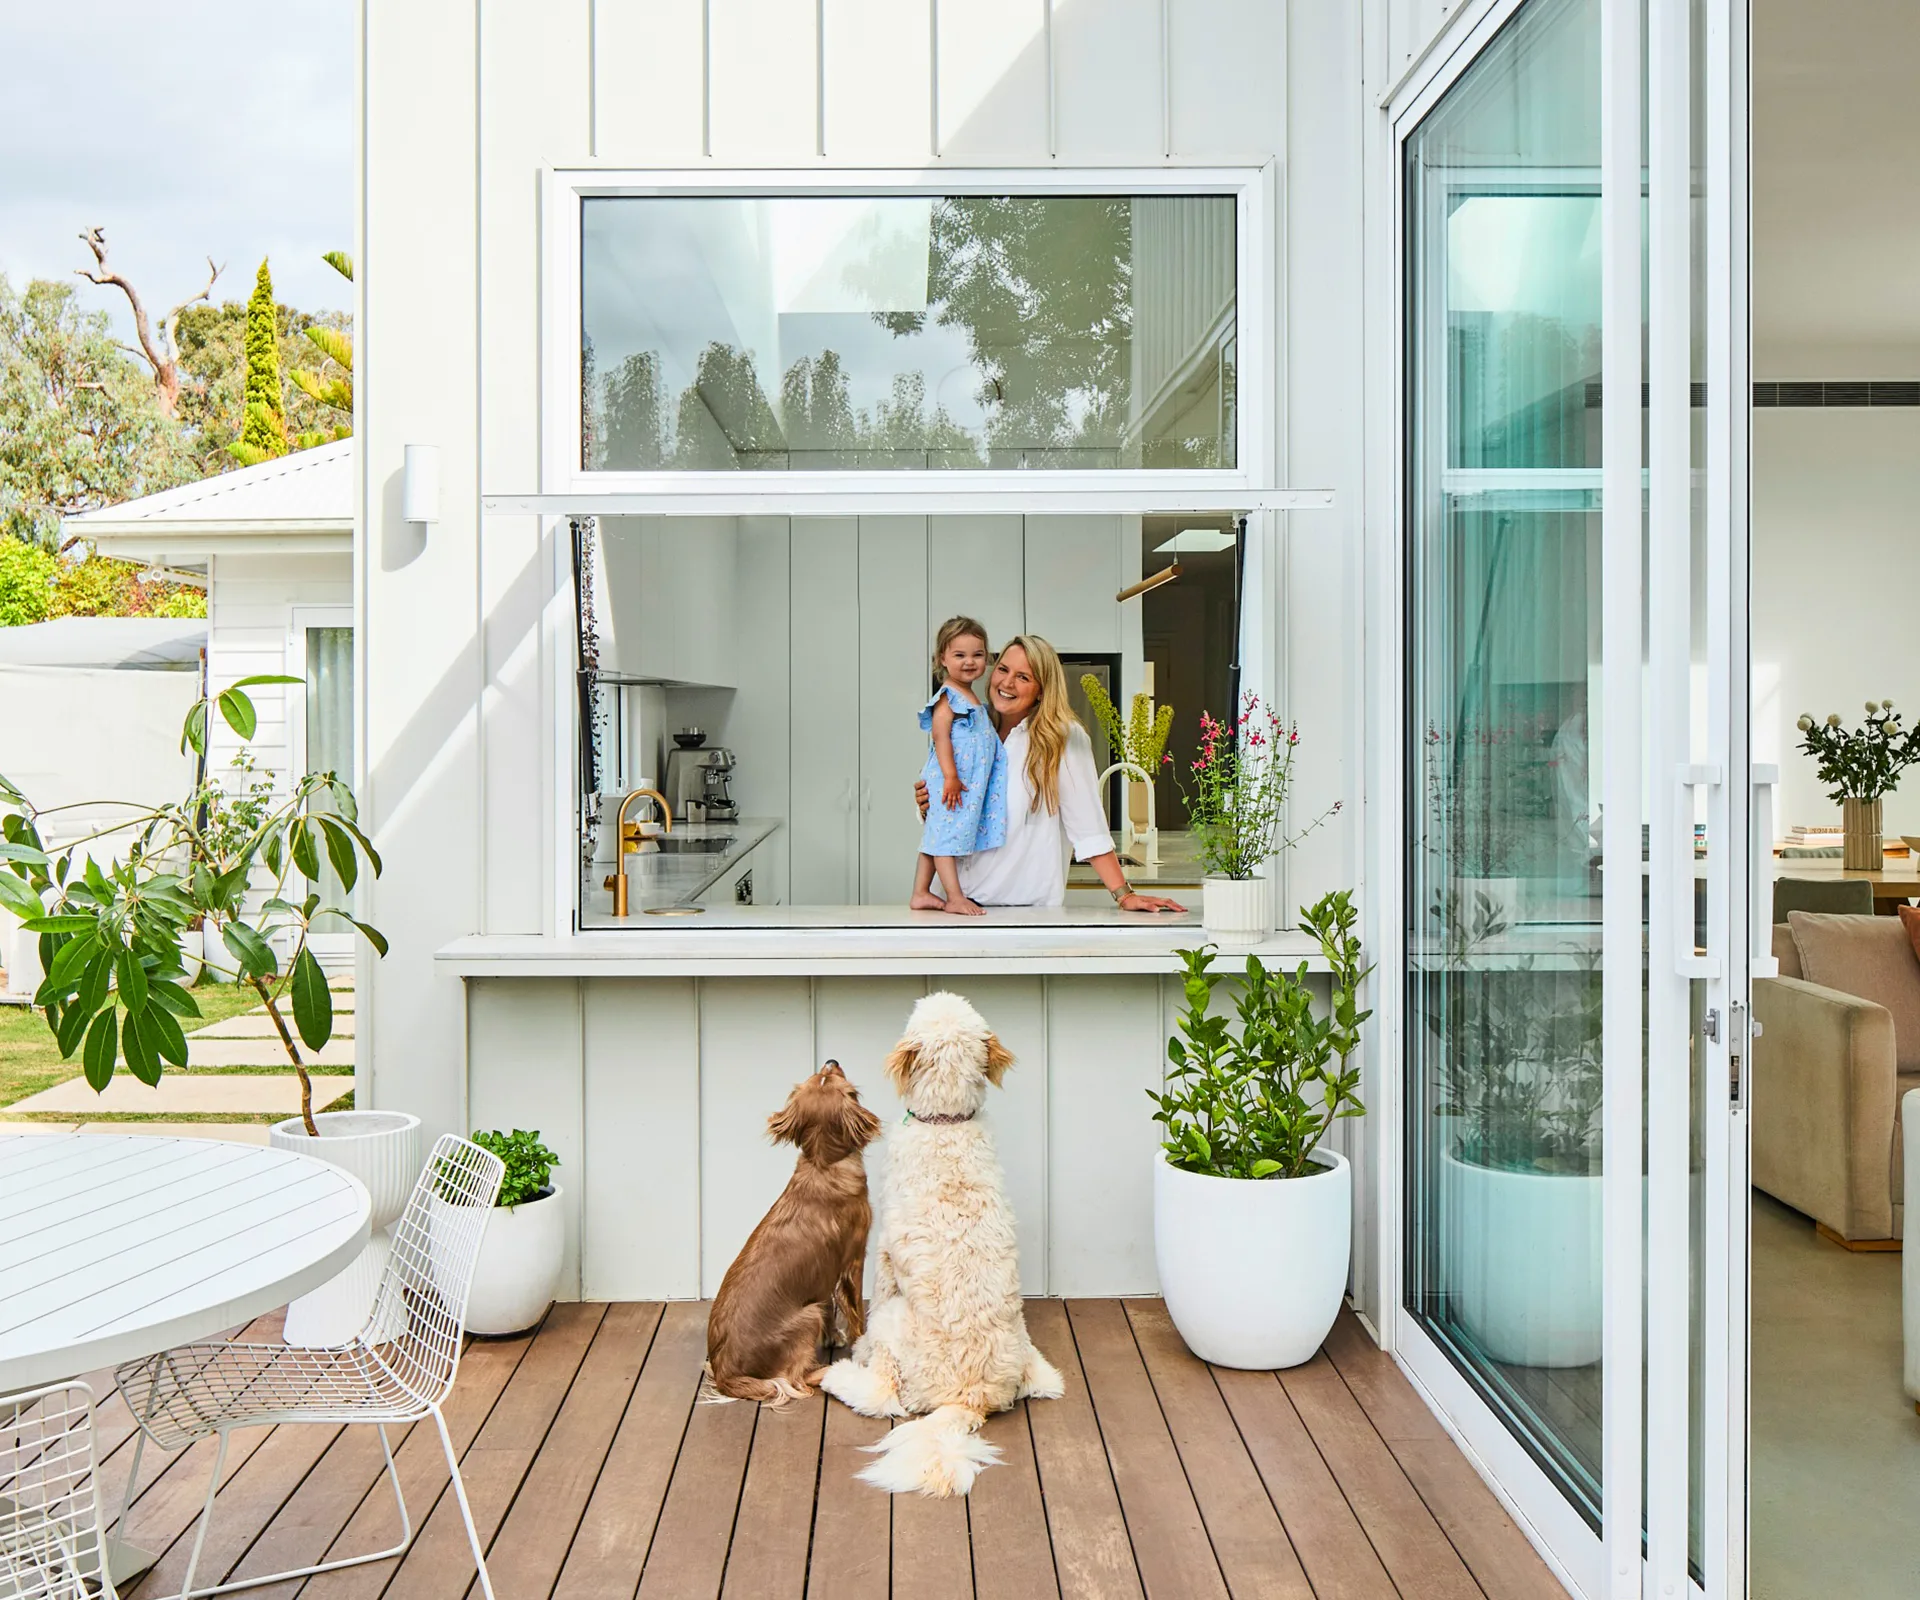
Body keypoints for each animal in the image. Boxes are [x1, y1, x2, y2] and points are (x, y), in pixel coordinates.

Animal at [706, 1060, 883, 1398]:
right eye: (831, 1077)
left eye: (820, 1075)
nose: (831, 1060)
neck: (823, 1165)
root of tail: (724, 1374)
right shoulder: (853, 1261)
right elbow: (855, 1313)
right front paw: (861, 1349)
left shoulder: (825, 1273)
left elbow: (828, 1302)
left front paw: (832, 1336)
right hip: (806, 1316)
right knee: (796, 1377)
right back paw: (828, 1371)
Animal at [817, 991, 1067, 1490]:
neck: (947, 1122)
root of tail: (971, 1398)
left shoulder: (885, 1249)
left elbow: (877, 1290)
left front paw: (856, 1348)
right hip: (1032, 1357)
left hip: (893, 1328)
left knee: (882, 1396)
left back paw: (838, 1374)